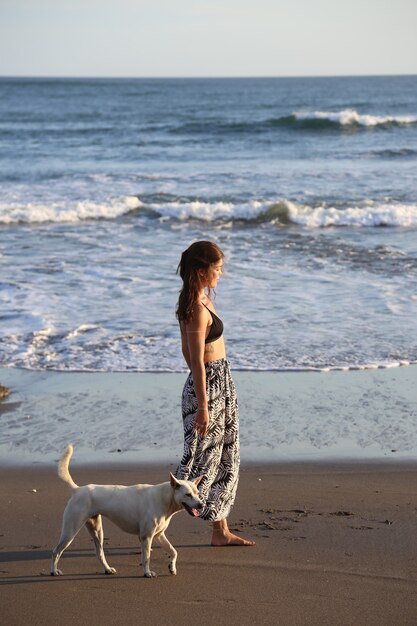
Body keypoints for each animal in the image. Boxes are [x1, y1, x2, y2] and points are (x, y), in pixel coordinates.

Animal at [50, 444, 203, 576]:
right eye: (188, 495)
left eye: (197, 493)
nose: (201, 505)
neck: (164, 498)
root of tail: (77, 490)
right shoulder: (146, 537)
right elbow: (146, 558)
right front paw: (147, 573)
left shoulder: (159, 535)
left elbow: (174, 551)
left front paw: (172, 567)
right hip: (70, 531)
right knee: (56, 551)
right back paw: (54, 571)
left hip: (96, 530)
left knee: (99, 553)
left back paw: (107, 569)